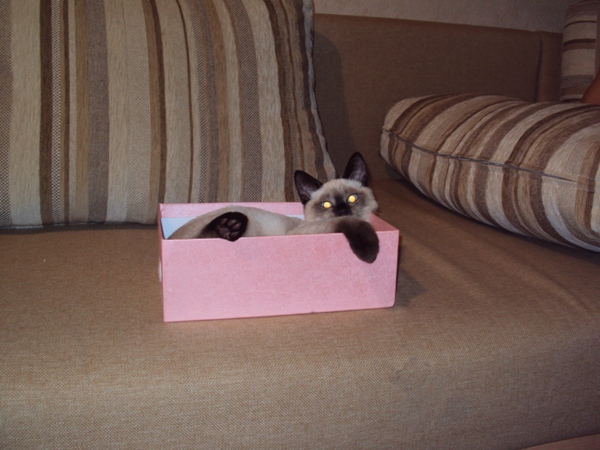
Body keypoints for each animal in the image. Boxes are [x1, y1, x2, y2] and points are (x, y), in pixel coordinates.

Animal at [168, 152, 380, 263]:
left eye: (352, 198)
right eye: (326, 204)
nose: (343, 210)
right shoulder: (308, 231)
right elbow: (350, 222)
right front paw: (369, 253)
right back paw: (228, 227)